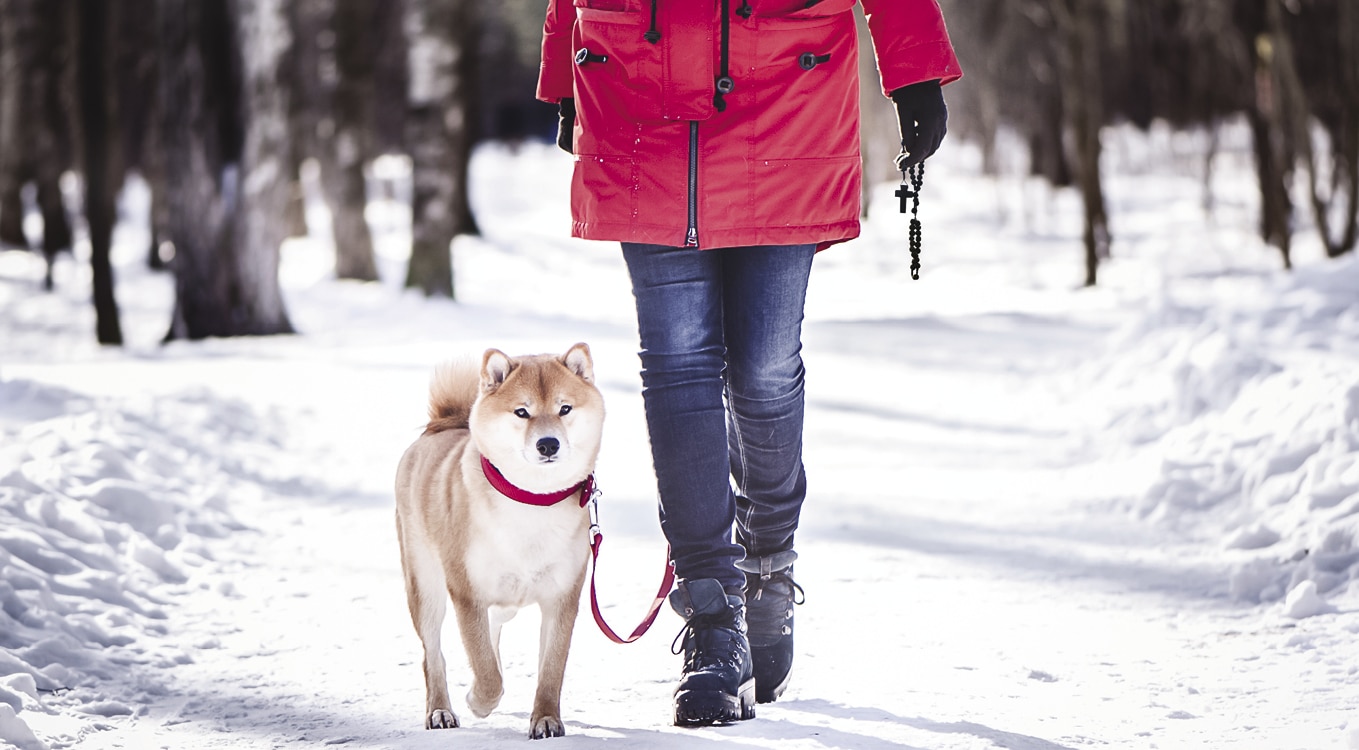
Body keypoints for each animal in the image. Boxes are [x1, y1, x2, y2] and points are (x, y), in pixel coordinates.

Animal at [394, 343, 606, 739]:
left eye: (564, 408)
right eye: (522, 412)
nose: (548, 443)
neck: (533, 501)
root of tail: (440, 425)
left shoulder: (562, 597)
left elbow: (551, 669)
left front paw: (546, 719)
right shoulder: (467, 593)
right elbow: (485, 671)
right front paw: (478, 701)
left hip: (503, 601)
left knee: (492, 632)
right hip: (425, 585)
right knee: (434, 655)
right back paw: (440, 710)